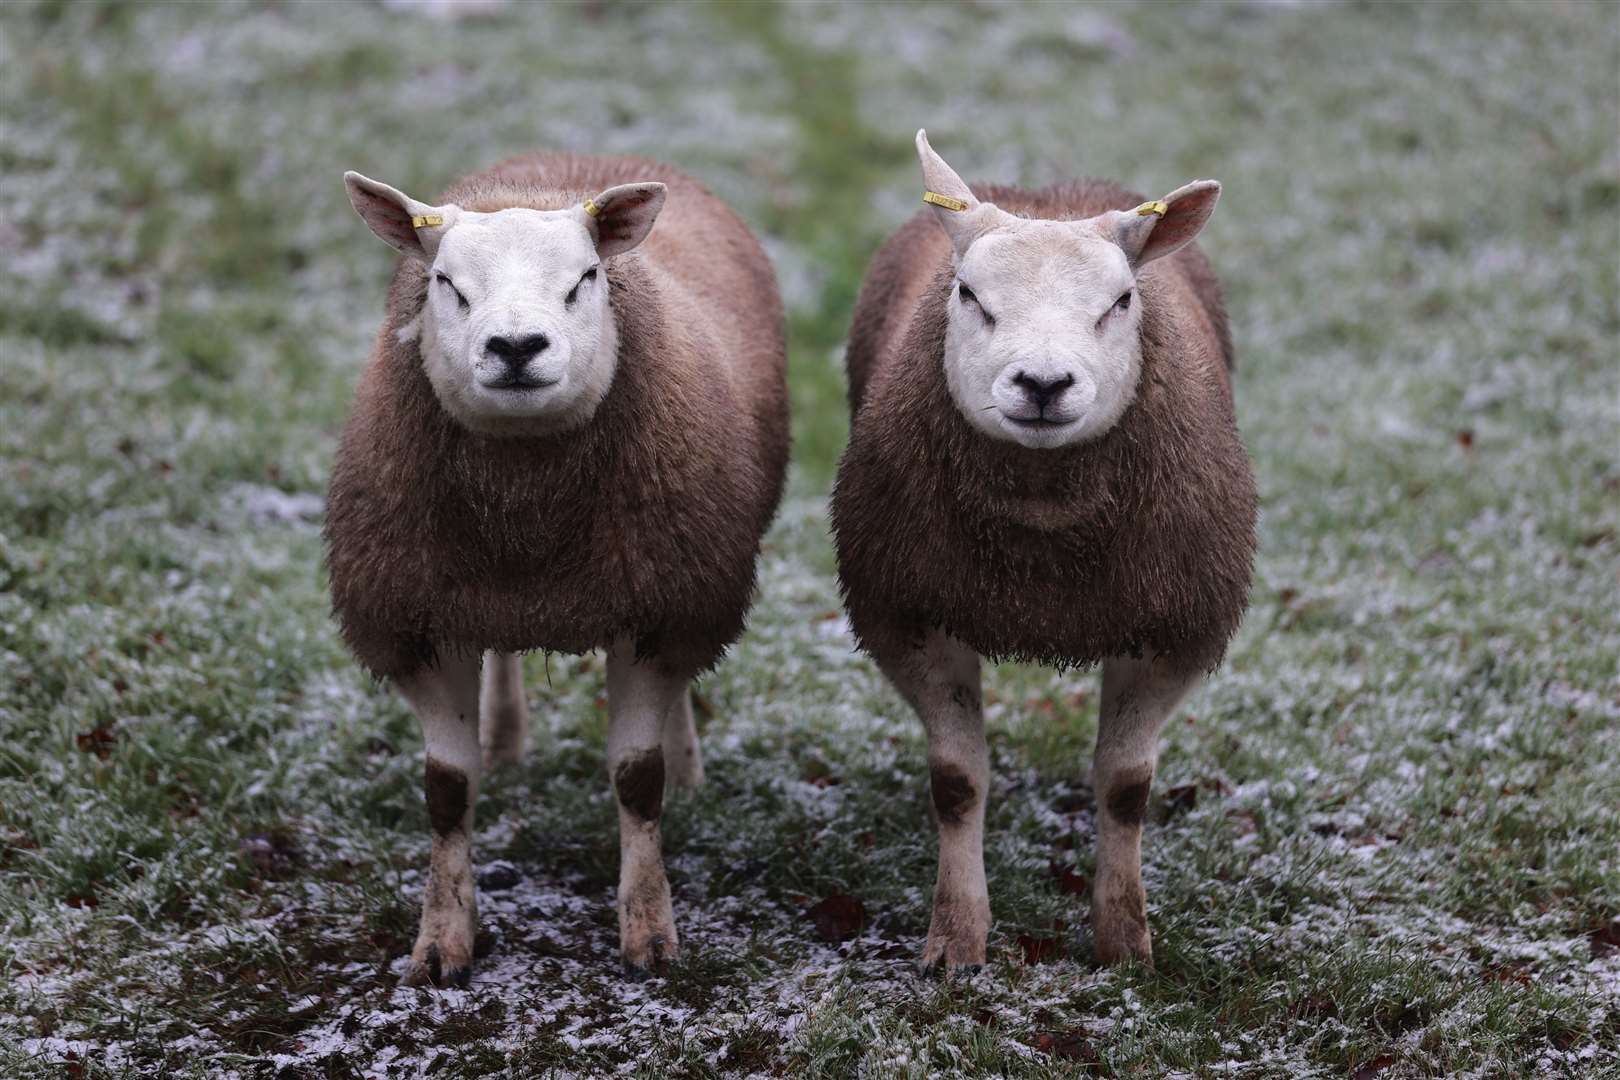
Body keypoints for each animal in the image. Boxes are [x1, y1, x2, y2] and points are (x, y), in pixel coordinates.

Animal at [325, 153, 787, 990]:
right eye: (445, 282)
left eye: (585, 278)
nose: (516, 347)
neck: (528, 524)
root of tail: (571, 163)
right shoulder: (422, 624)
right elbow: (447, 793)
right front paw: (441, 943)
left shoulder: (657, 610)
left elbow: (637, 778)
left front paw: (650, 933)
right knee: (504, 652)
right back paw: (506, 737)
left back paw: (687, 759)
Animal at [835, 132, 1250, 971]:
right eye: (969, 295)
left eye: (1121, 302)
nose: (1044, 383)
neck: (1045, 548)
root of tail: (1046, 191)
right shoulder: (910, 613)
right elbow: (957, 781)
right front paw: (956, 939)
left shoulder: (1174, 626)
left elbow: (1125, 786)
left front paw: (1123, 940)